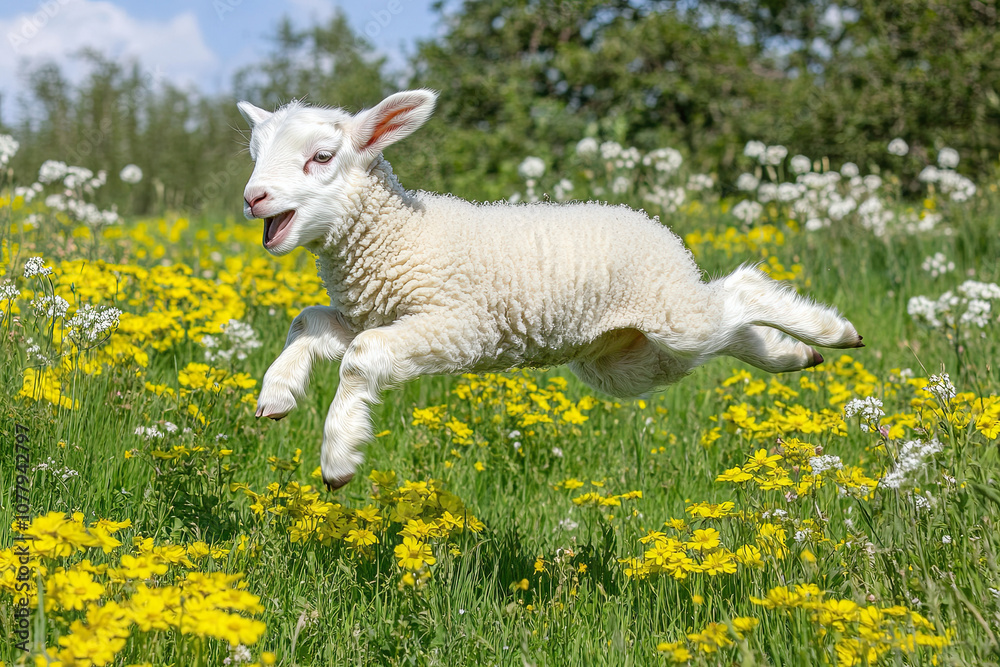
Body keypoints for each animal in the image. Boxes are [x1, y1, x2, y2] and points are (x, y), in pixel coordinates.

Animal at [238, 89, 863, 490]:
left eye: (321, 157)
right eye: (256, 155)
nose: (253, 198)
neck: (397, 237)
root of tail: (655, 227)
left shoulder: (457, 324)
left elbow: (362, 359)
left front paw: (338, 456)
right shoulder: (375, 314)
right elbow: (308, 322)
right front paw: (277, 393)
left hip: (666, 312)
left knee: (740, 293)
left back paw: (832, 331)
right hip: (631, 359)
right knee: (726, 334)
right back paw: (792, 355)